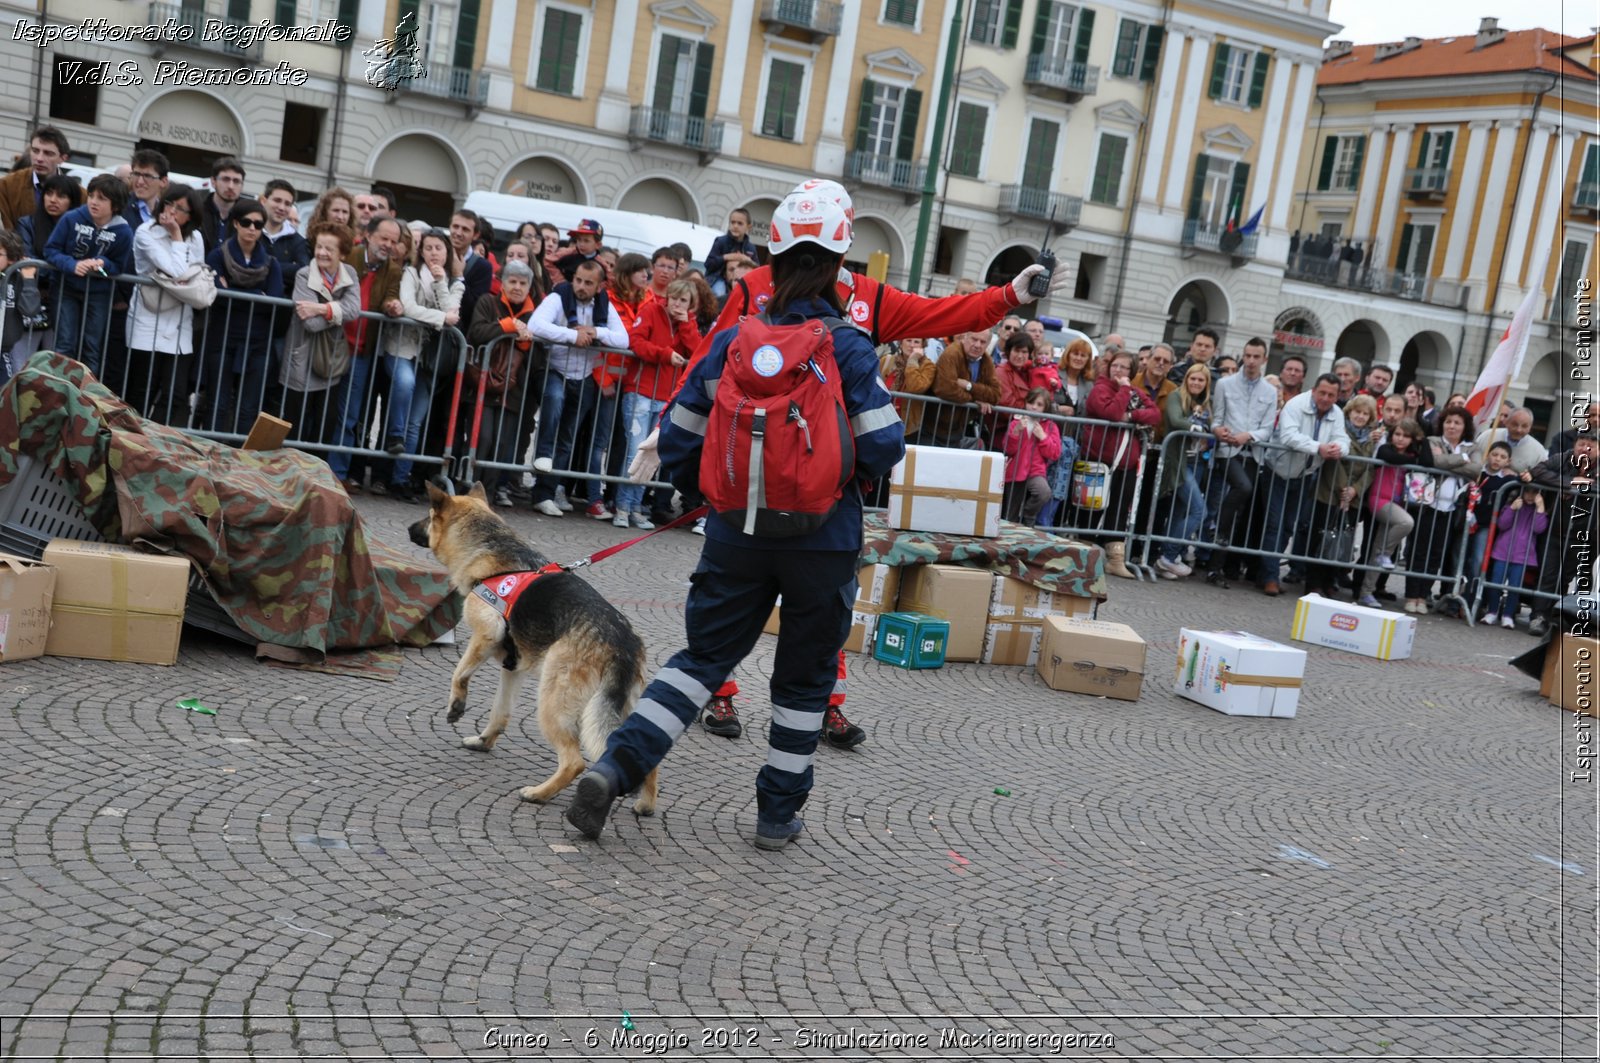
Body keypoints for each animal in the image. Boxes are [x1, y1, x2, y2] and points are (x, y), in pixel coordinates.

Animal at [412, 480, 662, 813]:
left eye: (427, 517)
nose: (408, 528)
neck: (490, 549)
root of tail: (622, 641)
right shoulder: (512, 669)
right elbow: (500, 712)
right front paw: (484, 741)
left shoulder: (485, 637)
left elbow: (459, 674)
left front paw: (456, 706)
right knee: (646, 758)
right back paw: (645, 804)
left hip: (552, 703)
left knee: (574, 762)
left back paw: (539, 793)